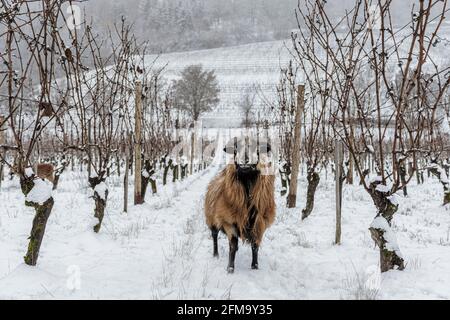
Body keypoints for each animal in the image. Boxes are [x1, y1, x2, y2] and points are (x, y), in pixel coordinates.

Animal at [206, 137, 276, 272]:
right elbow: (233, 245)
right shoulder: (228, 221)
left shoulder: (259, 223)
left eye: (256, 148)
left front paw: (255, 266)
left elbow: (255, 245)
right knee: (215, 236)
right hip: (212, 219)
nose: (245, 160)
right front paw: (230, 268)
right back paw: (216, 254)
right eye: (235, 148)